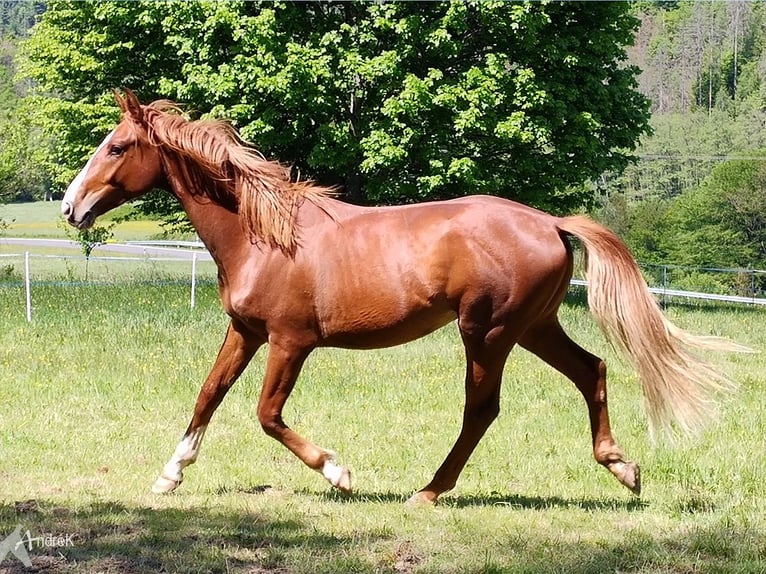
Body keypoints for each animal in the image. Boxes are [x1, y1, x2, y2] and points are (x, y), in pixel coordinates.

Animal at [63, 90, 740, 504]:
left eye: (117, 147)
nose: (72, 207)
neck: (266, 236)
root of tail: (548, 222)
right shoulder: (246, 332)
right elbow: (209, 394)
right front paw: (168, 475)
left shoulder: (290, 342)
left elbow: (266, 414)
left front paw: (340, 473)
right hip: (534, 328)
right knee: (590, 370)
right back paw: (622, 467)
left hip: (488, 334)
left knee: (482, 409)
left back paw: (431, 491)